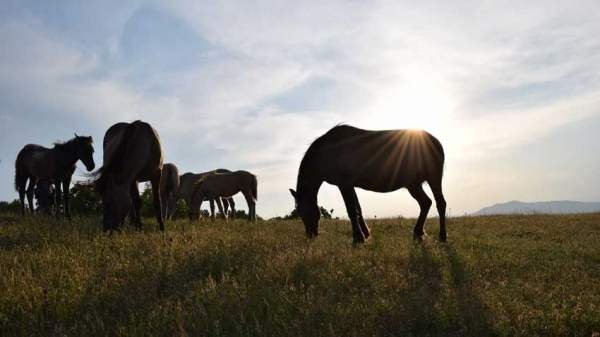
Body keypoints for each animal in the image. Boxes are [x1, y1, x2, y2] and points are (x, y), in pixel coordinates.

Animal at [288, 123, 448, 242]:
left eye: (303, 211)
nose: (311, 235)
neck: (328, 151)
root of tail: (436, 142)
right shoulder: (350, 185)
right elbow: (358, 209)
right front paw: (365, 233)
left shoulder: (344, 185)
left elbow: (351, 210)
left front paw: (358, 238)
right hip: (413, 185)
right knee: (426, 203)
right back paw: (418, 233)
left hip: (433, 178)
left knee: (440, 203)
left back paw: (442, 236)